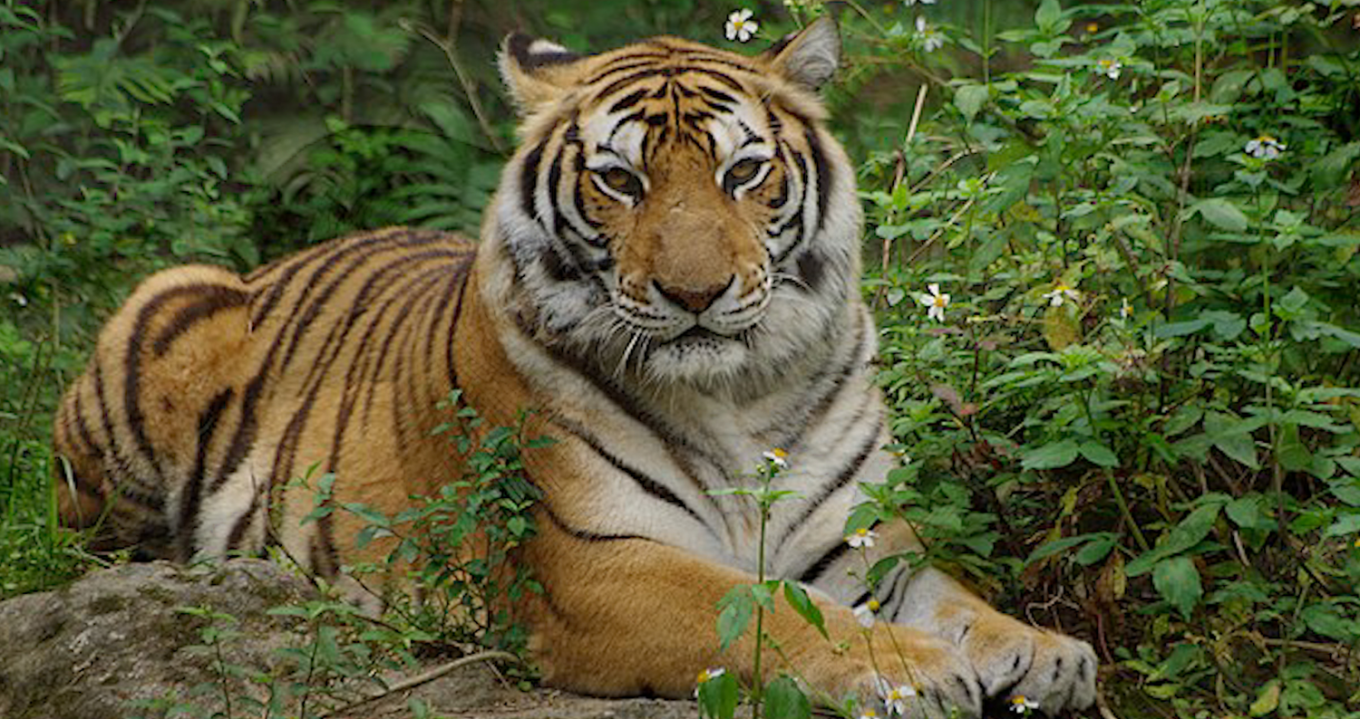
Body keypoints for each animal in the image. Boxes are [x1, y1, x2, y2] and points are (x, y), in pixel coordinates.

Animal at [53, 18, 1098, 717]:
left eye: (743, 173)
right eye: (620, 180)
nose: (695, 292)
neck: (741, 390)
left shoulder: (860, 540)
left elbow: (955, 597)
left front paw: (1044, 652)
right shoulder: (594, 563)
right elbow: (769, 612)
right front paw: (911, 667)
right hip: (165, 307)